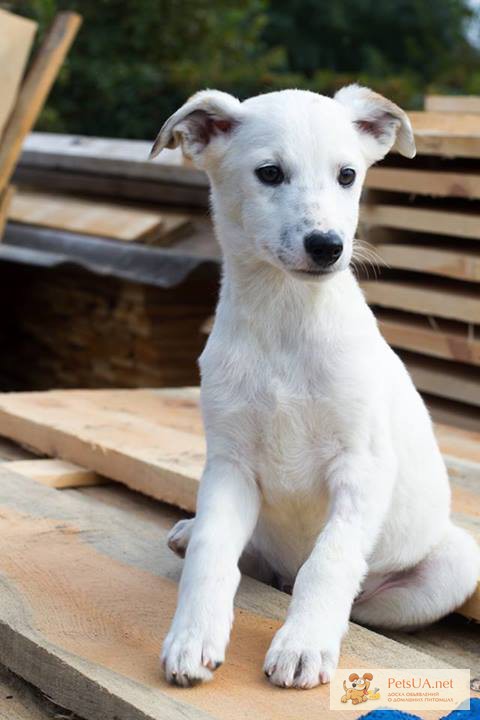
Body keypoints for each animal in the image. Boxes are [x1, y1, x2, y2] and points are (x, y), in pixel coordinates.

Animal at [151, 87, 480, 688]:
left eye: (347, 175)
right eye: (270, 173)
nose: (327, 246)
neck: (287, 320)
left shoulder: (362, 466)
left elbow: (329, 560)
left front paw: (303, 645)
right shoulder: (230, 465)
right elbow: (214, 552)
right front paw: (191, 637)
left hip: (451, 563)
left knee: (339, 588)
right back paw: (189, 532)